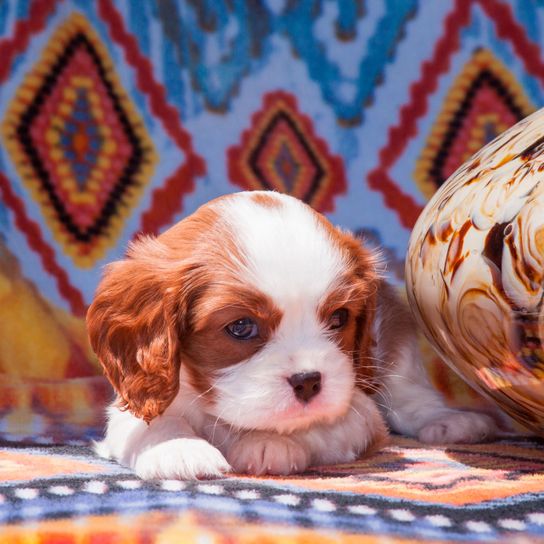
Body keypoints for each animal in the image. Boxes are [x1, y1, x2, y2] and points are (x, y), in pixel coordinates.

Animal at [88, 191, 498, 480]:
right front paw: (178, 447)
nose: (308, 381)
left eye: (338, 318)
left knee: (409, 395)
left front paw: (267, 442)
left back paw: (449, 421)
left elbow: (312, 428)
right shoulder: (134, 399)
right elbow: (149, 422)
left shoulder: (358, 415)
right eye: (241, 327)